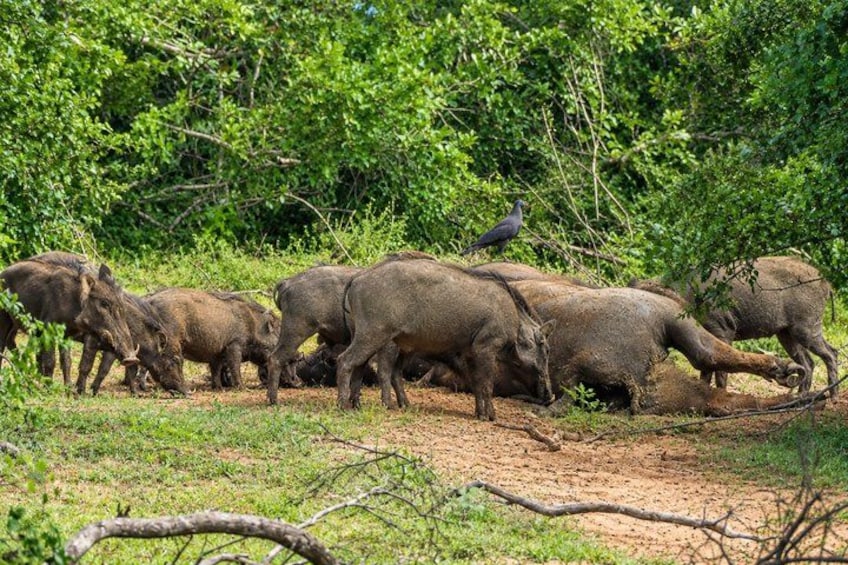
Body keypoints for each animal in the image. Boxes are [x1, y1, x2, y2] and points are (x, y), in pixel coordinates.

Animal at [335, 258, 554, 421]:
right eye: (545, 346)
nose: (551, 396)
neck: (515, 324)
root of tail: (356, 279)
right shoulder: (487, 347)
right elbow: (487, 384)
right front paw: (491, 417)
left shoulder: (470, 352)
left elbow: (476, 383)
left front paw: (479, 414)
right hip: (374, 334)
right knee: (346, 361)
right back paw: (349, 406)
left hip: (379, 338)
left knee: (372, 368)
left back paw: (377, 405)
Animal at [630, 256, 838, 395]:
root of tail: (827, 284)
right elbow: (707, 369)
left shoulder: (724, 330)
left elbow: (720, 369)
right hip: (786, 333)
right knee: (808, 362)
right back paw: (800, 398)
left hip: (806, 327)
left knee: (830, 353)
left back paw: (832, 396)